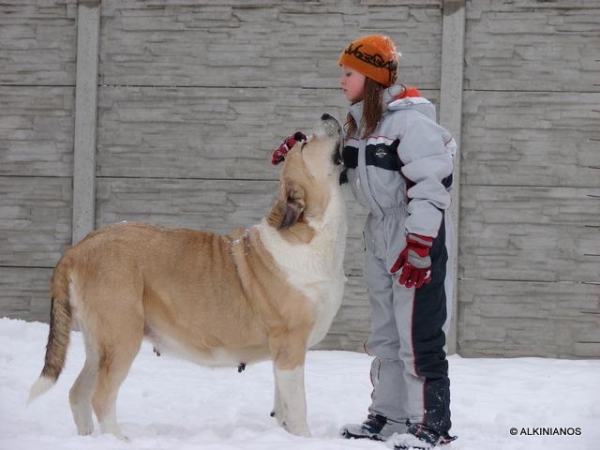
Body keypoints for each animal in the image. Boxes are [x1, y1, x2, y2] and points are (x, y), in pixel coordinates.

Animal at [28, 114, 346, 442]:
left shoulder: (281, 356)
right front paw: (304, 439)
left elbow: (282, 406)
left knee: (78, 393)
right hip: (121, 337)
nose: (325, 116)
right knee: (100, 396)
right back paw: (119, 439)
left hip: (99, 345)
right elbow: (297, 408)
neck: (309, 232)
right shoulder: (290, 347)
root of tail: (78, 248)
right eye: (306, 144)